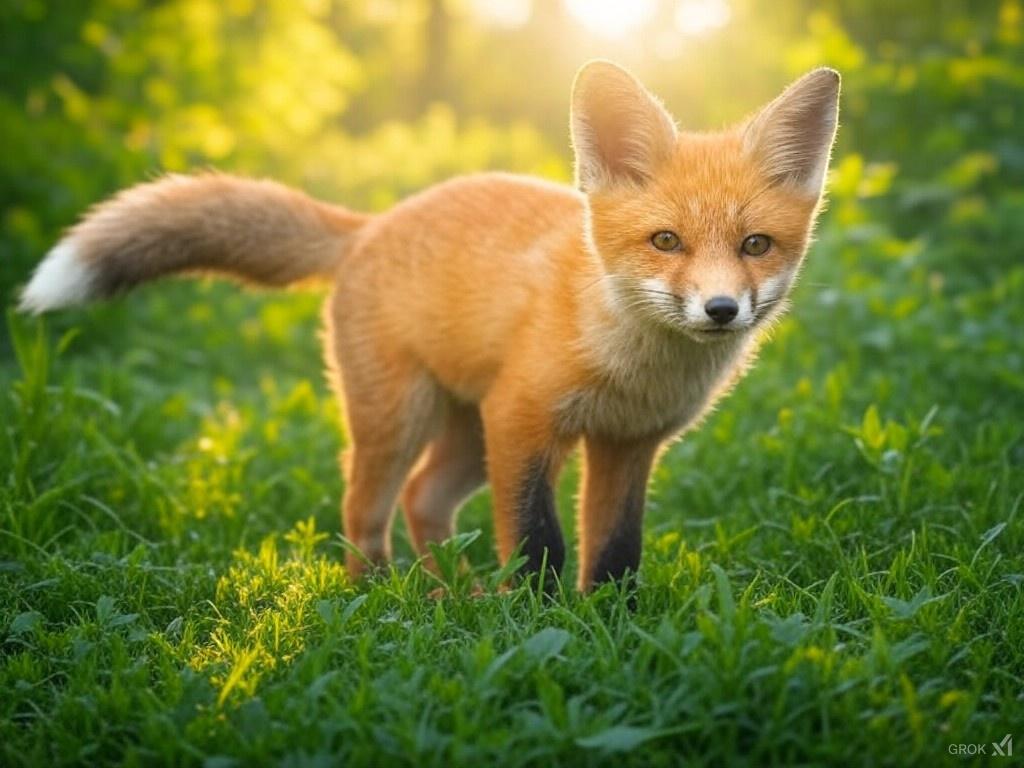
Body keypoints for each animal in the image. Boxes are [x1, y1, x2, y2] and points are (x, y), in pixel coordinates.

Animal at [19, 61, 839, 591]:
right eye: (666, 241)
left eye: (755, 245)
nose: (722, 310)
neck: (632, 365)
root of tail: (371, 224)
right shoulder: (524, 419)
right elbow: (538, 545)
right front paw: (541, 625)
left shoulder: (627, 445)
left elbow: (613, 552)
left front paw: (611, 627)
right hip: (404, 418)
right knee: (366, 507)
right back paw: (382, 597)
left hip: (466, 436)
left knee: (423, 501)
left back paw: (448, 596)